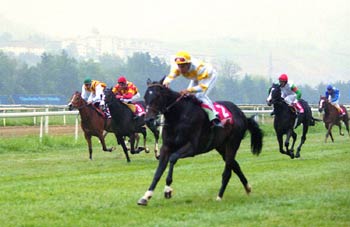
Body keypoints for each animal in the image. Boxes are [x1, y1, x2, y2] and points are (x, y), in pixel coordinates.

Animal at [137, 79, 262, 207]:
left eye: (157, 96)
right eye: (145, 97)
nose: (148, 120)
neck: (179, 116)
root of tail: (242, 114)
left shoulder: (192, 148)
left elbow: (173, 158)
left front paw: (167, 190)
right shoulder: (166, 147)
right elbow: (158, 172)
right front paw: (146, 197)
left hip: (232, 143)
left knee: (228, 171)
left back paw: (219, 196)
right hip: (221, 146)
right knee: (235, 165)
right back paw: (248, 188)